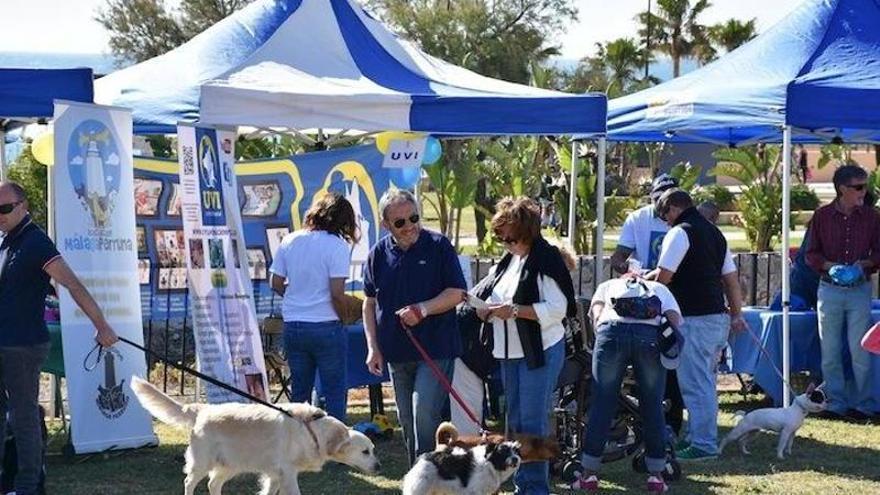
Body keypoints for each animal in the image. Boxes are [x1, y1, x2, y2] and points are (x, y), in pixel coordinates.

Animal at [131, 376, 378, 495]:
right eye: (365, 452)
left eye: (373, 450)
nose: (378, 466)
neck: (311, 430)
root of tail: (201, 409)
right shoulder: (287, 472)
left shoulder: (275, 475)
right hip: (202, 462)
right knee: (189, 482)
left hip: (229, 464)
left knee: (213, 484)